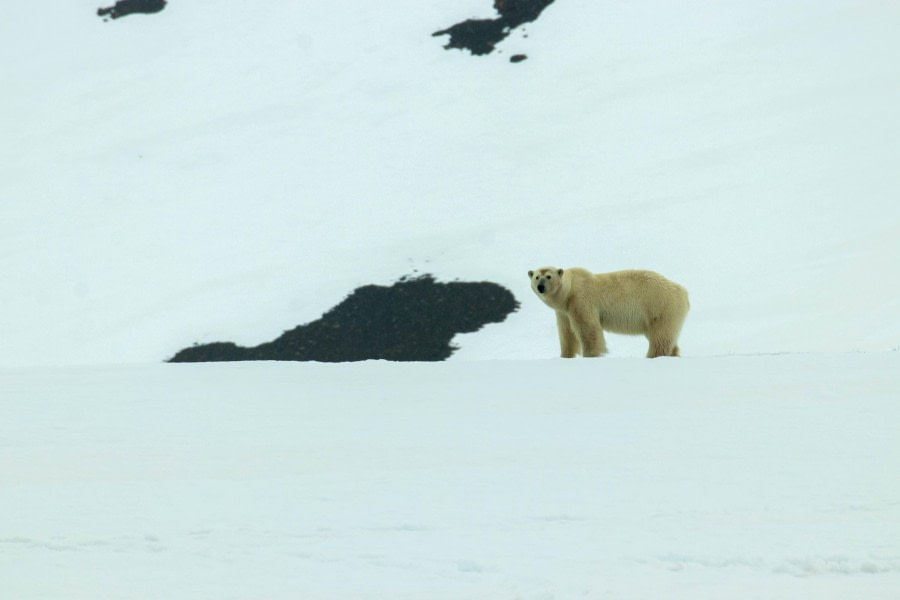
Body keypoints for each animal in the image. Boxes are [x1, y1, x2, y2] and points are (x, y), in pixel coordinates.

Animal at [528, 266, 688, 358]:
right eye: (536, 277)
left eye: (548, 276)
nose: (541, 286)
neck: (570, 289)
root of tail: (683, 292)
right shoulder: (564, 311)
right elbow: (566, 332)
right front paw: (565, 355)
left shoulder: (581, 299)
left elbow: (587, 328)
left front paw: (591, 354)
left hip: (660, 306)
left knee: (660, 336)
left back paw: (653, 355)